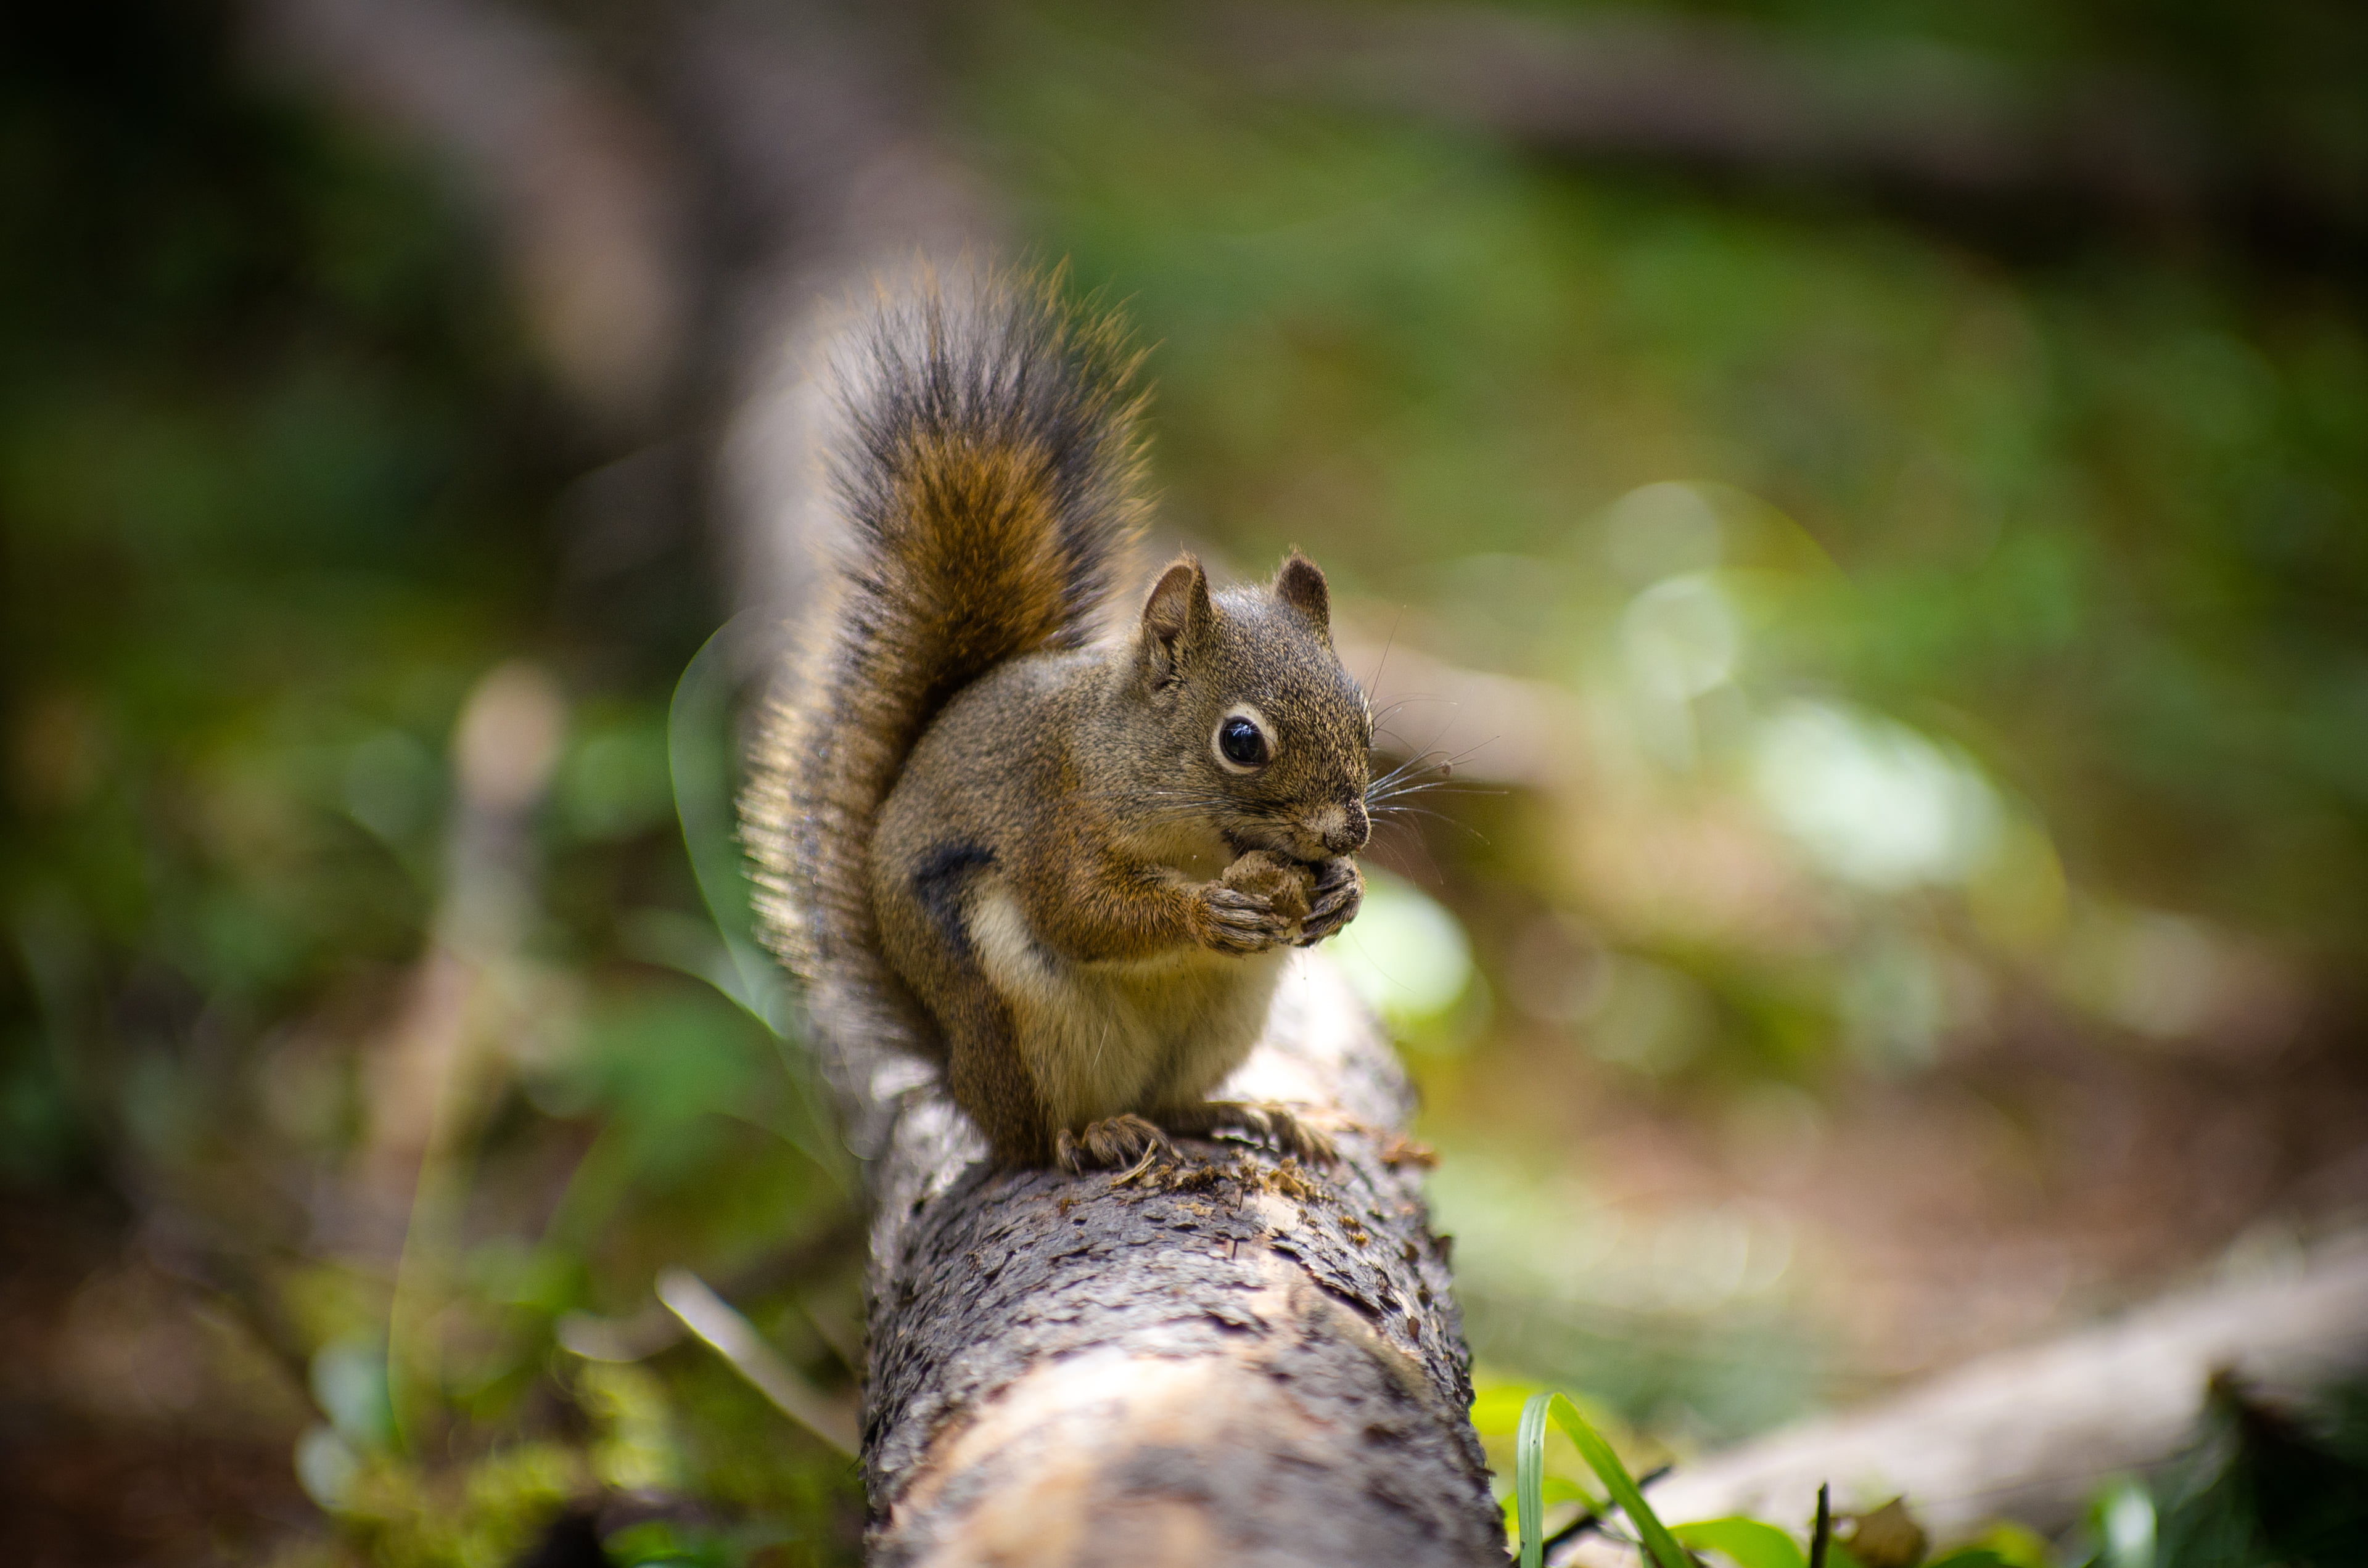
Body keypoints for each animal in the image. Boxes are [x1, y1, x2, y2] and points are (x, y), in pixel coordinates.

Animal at [744, 270, 1372, 1172]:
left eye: (1363, 711)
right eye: (1241, 741)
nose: (1350, 831)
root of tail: (957, 1077)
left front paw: (1343, 892)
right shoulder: (1052, 814)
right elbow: (1079, 908)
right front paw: (1203, 913)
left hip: (1222, 1018)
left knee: (1174, 1100)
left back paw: (1250, 1112)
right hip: (1020, 1017)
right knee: (1037, 1138)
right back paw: (1095, 1132)